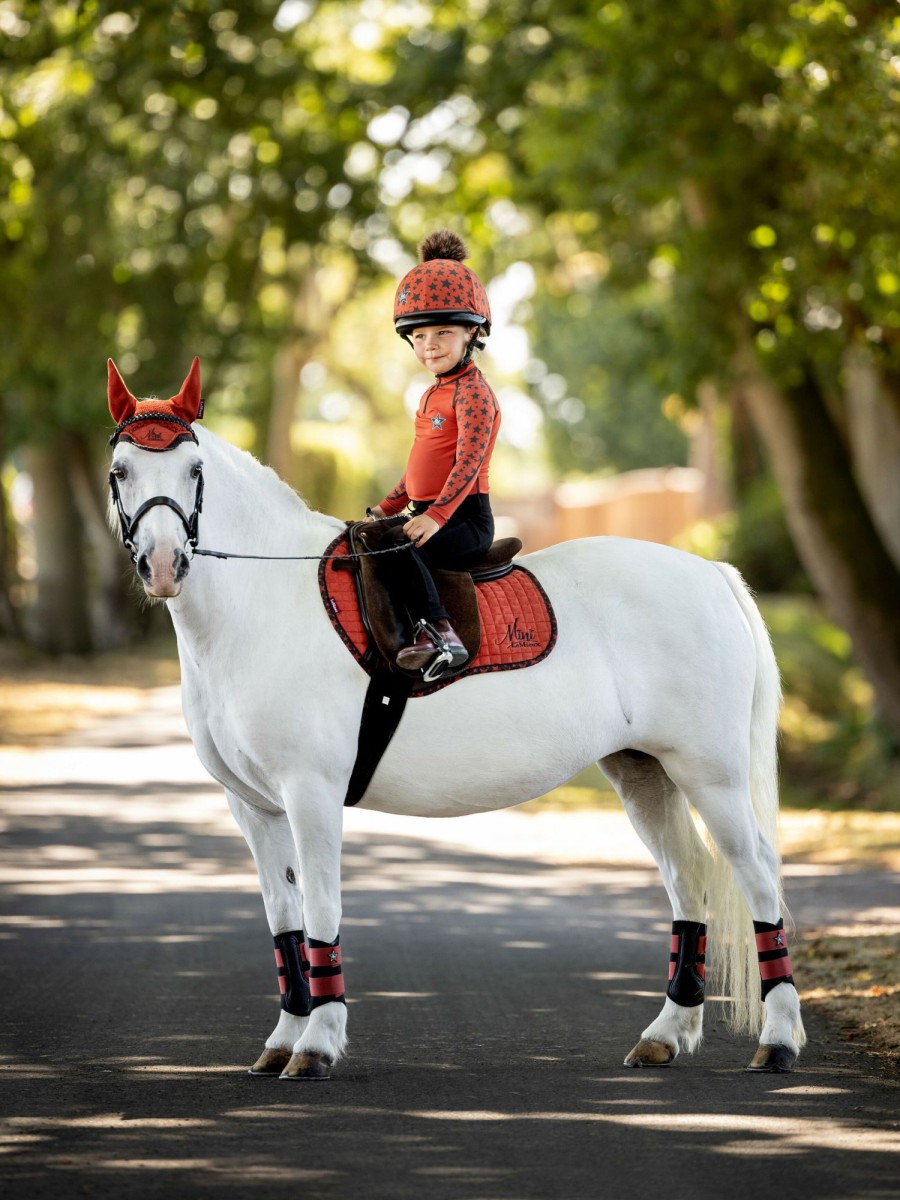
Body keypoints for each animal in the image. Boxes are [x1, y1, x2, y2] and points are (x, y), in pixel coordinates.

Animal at [107, 355, 811, 1080]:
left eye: (194, 469)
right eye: (120, 471)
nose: (162, 565)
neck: (265, 604)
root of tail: (710, 572)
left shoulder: (311, 793)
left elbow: (322, 908)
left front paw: (317, 1042)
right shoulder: (252, 805)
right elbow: (284, 919)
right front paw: (283, 1039)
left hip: (711, 776)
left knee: (759, 878)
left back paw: (778, 1040)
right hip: (645, 772)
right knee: (689, 879)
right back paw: (666, 1033)